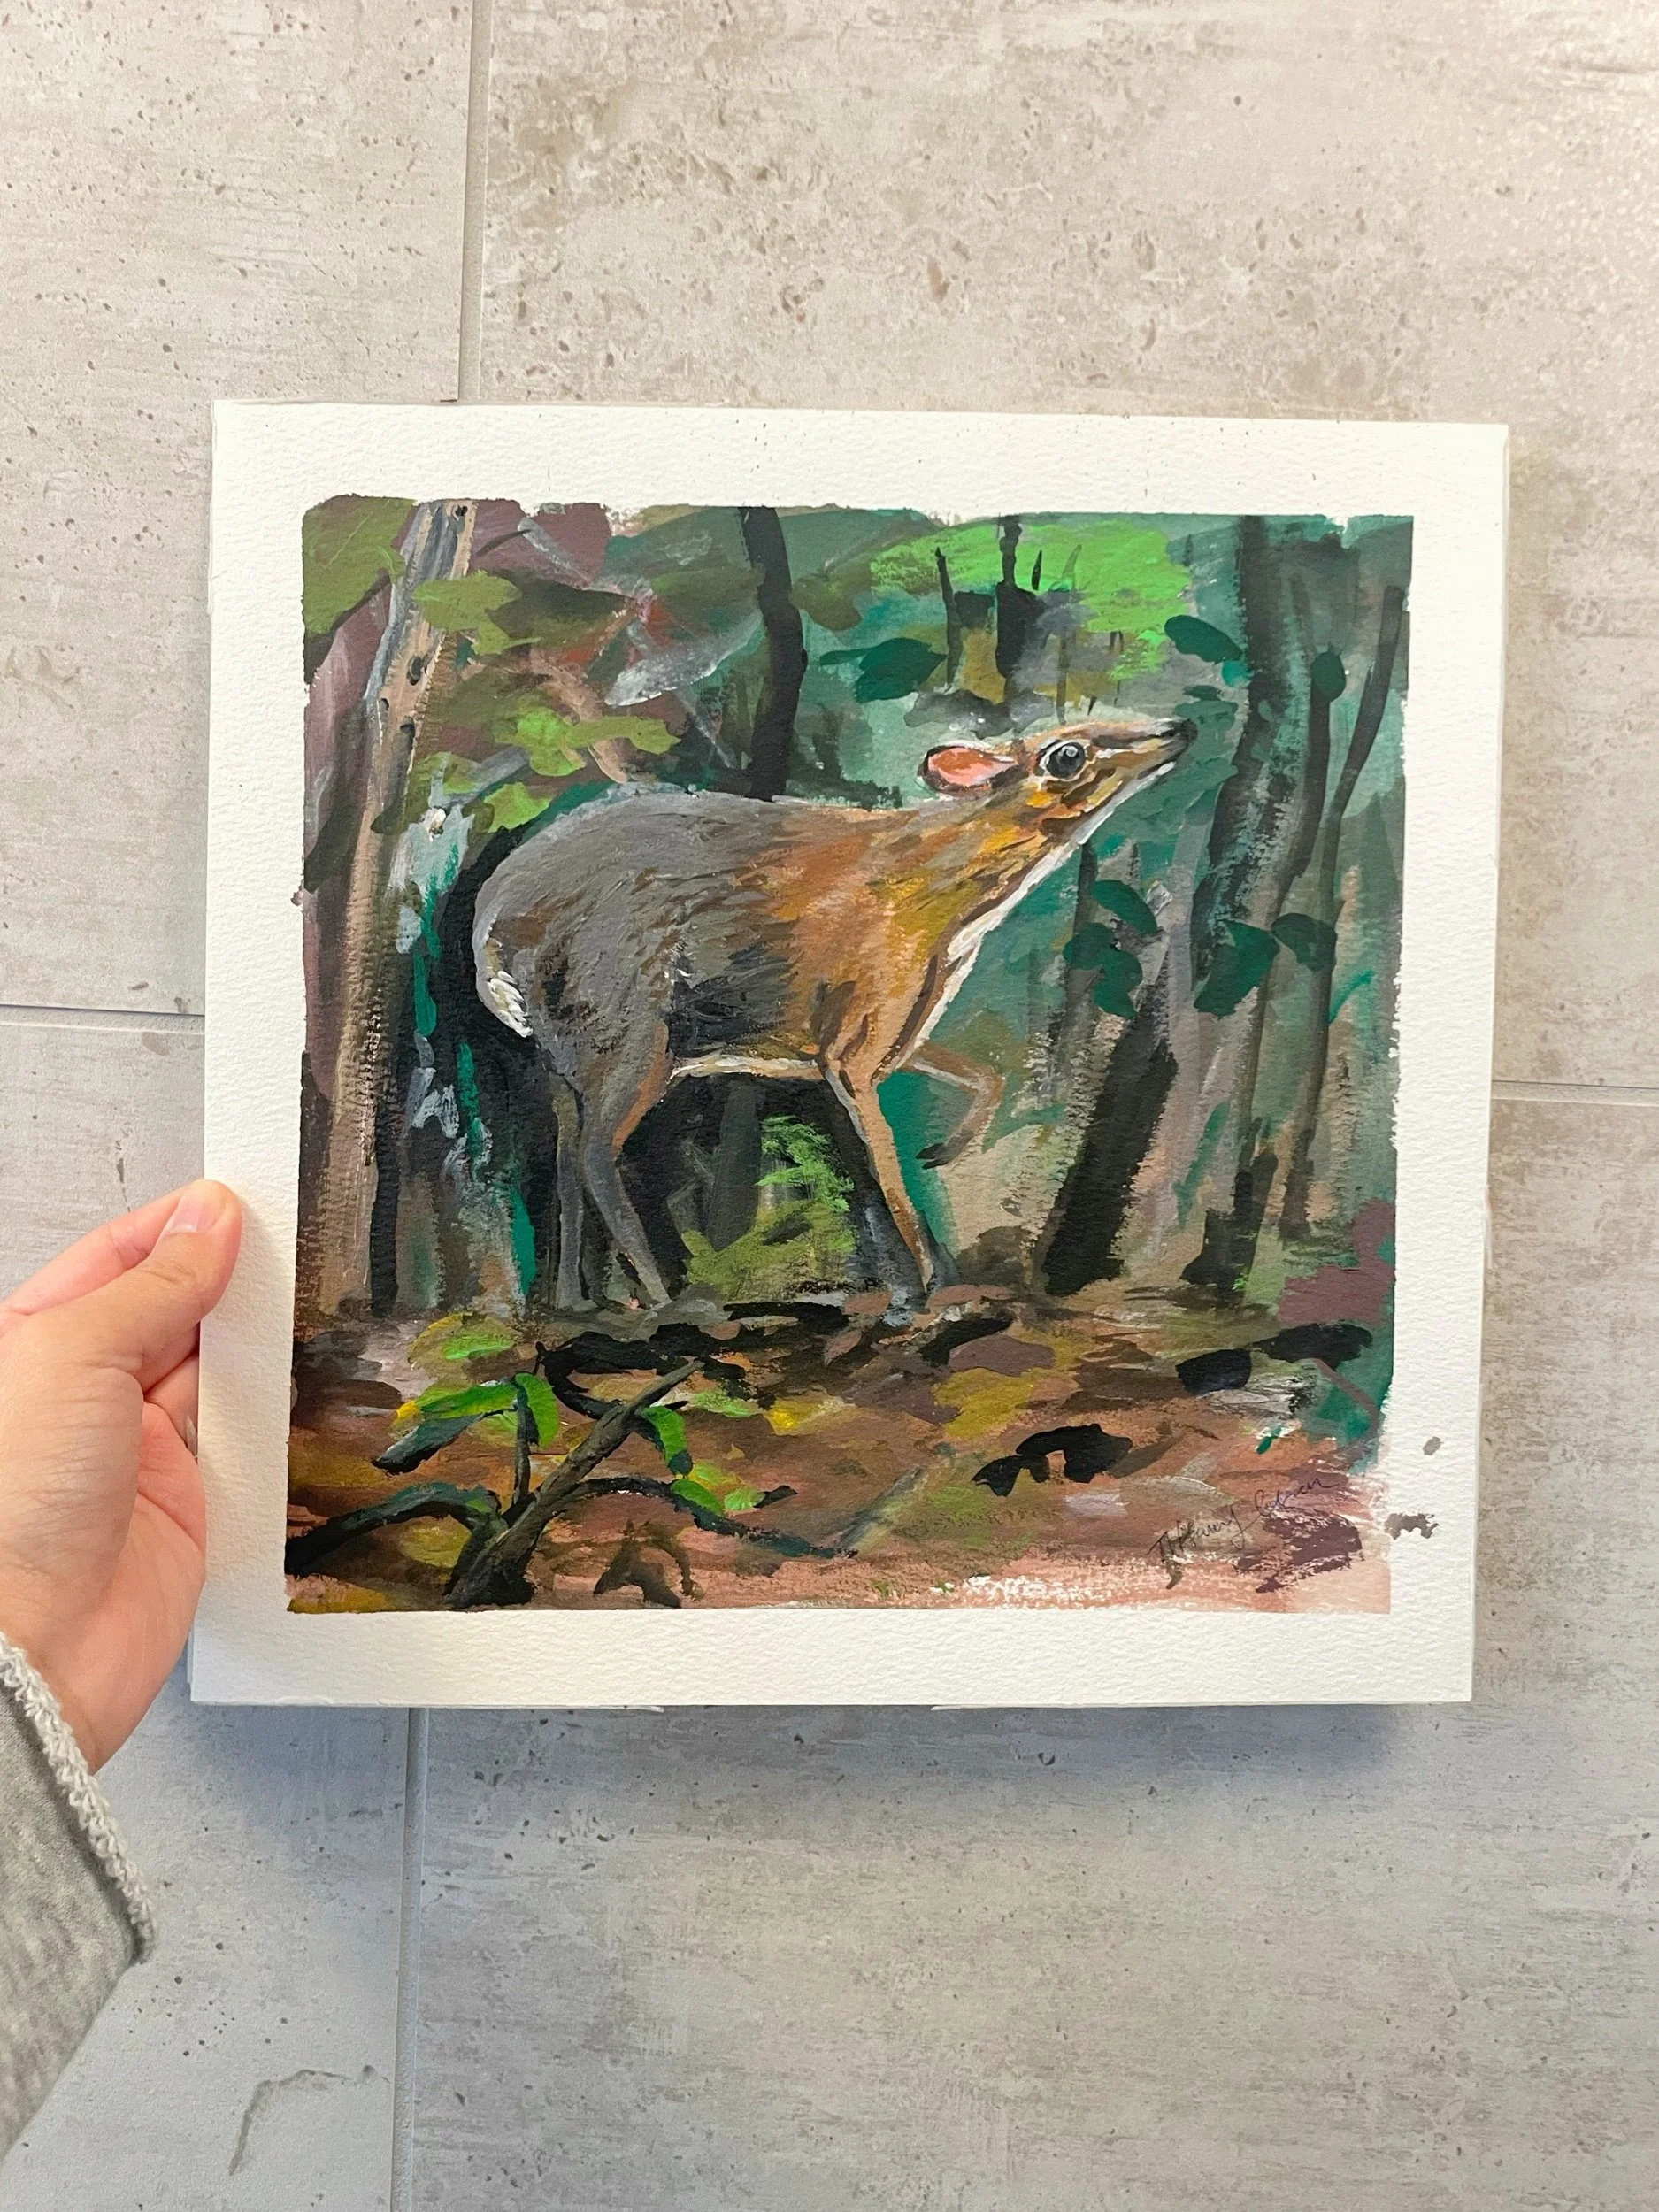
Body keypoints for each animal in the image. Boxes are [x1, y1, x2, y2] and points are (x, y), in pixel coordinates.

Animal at [472, 716, 1192, 1308]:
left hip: (564, 1048)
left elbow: (986, 1075)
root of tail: (490, 926)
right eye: (1066, 754)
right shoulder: (854, 1042)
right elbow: (886, 1167)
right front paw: (934, 1284)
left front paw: (944, 1152)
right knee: (596, 1156)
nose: (1175, 728)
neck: (939, 909)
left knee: (564, 1161)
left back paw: (572, 1303)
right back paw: (664, 1298)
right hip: (628, 1029)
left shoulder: (893, 1033)